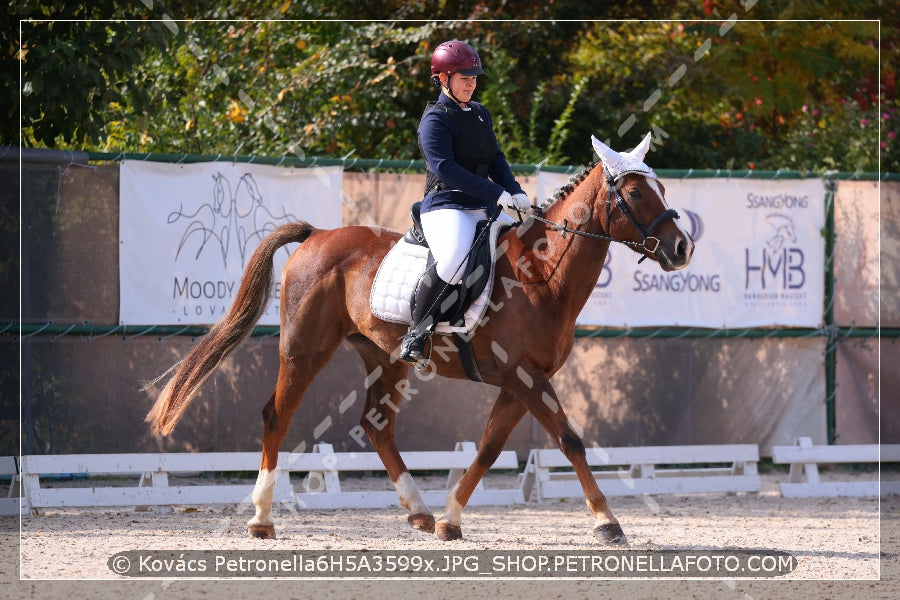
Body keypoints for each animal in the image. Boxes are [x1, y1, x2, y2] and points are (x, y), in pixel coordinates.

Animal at [146, 131, 696, 544]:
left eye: (664, 189)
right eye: (635, 194)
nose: (682, 248)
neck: (541, 274)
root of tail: (318, 235)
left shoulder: (518, 381)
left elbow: (488, 448)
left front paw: (451, 521)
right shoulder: (525, 376)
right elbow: (570, 439)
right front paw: (608, 522)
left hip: (385, 357)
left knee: (377, 426)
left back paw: (421, 513)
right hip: (304, 349)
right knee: (277, 416)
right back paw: (261, 519)